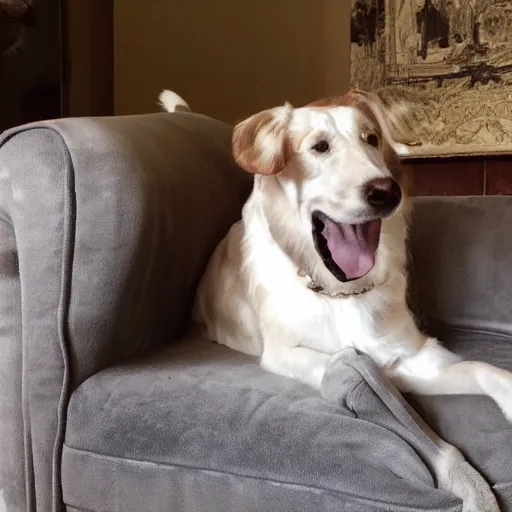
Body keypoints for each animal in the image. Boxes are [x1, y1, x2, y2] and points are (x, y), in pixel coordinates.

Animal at [159, 90, 508, 510]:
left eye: (372, 139)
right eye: (319, 147)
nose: (386, 192)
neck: (342, 293)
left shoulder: (409, 359)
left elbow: (486, 370)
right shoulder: (286, 354)